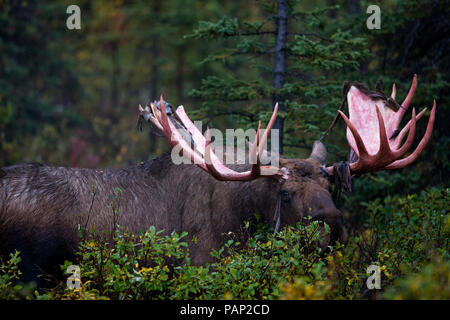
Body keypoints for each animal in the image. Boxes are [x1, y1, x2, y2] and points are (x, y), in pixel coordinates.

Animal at [0, 75, 436, 284]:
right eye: (286, 192)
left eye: (331, 188)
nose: (332, 224)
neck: (247, 222)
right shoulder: (202, 268)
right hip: (30, 272)